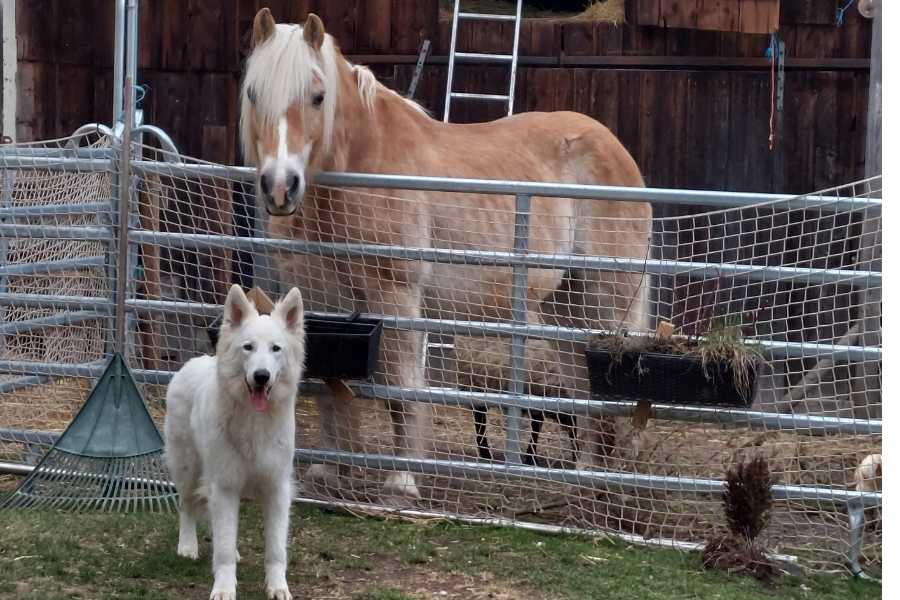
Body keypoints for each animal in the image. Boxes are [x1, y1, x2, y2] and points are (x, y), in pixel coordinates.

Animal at [162, 286, 302, 600]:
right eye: (248, 347)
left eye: (276, 349)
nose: (261, 376)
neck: (253, 420)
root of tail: (194, 362)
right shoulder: (225, 485)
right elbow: (224, 547)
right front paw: (224, 588)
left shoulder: (276, 488)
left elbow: (276, 549)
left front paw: (278, 587)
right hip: (188, 468)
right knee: (186, 505)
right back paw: (187, 546)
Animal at [237, 8, 648, 502]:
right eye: (253, 92)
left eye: (318, 97)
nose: (280, 188)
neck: (359, 166)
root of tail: (615, 148)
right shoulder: (321, 296)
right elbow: (319, 379)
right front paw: (329, 471)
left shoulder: (396, 297)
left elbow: (402, 387)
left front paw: (403, 481)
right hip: (564, 304)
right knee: (579, 382)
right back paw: (585, 478)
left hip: (607, 301)